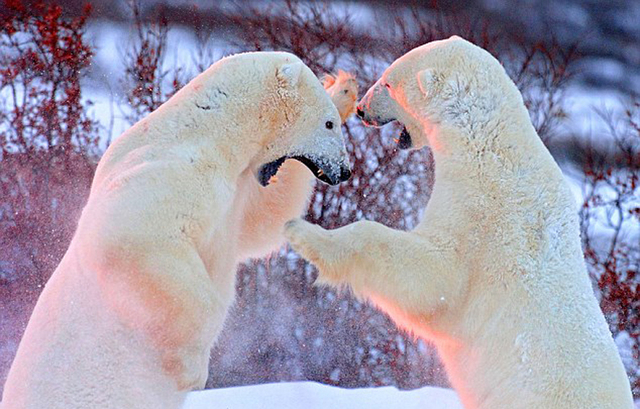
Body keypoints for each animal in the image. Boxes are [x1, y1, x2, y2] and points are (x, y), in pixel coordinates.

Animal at [2, 51, 350, 408]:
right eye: (328, 124)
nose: (345, 171)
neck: (207, 134)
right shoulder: (165, 178)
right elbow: (136, 241)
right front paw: (193, 367)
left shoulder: (233, 199)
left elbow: (262, 222)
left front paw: (342, 89)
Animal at [286, 35, 636, 408]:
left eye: (388, 82)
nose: (363, 109)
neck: (489, 145)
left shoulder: (480, 213)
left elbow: (434, 279)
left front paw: (301, 232)